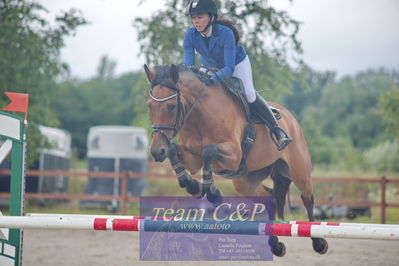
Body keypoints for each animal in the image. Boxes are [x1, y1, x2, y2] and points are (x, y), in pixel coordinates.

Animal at [145, 63, 330, 256]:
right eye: (149, 105)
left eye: (172, 106)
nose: (156, 151)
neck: (199, 115)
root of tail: (291, 118)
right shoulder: (193, 159)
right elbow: (174, 151)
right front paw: (193, 185)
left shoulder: (234, 155)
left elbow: (209, 151)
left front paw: (212, 192)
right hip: (246, 181)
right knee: (269, 198)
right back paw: (275, 244)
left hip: (299, 172)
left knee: (307, 198)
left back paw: (318, 241)